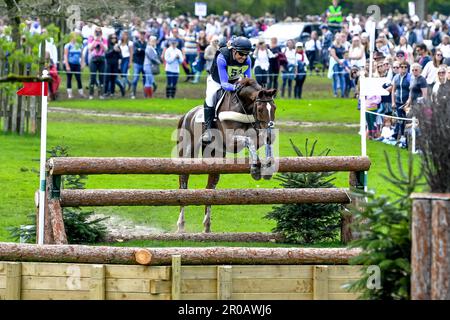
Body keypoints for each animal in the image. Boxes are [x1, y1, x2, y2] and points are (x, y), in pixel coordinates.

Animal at [174, 77, 276, 232]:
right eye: (260, 109)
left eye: (274, 108)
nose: (271, 132)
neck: (243, 106)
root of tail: (186, 115)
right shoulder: (230, 141)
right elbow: (248, 141)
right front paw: (255, 168)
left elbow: (260, 140)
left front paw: (268, 163)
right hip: (187, 152)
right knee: (183, 182)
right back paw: (181, 226)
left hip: (215, 156)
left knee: (210, 188)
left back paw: (207, 227)